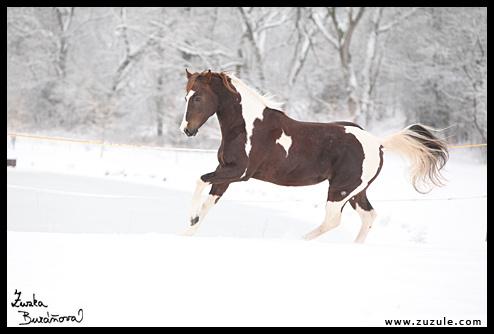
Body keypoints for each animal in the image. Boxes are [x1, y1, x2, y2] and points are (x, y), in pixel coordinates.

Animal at [179, 70, 450, 243]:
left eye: (198, 97)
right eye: (185, 97)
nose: (186, 130)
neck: (247, 127)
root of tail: (378, 143)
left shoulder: (240, 172)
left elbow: (200, 180)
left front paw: (190, 218)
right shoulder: (225, 171)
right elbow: (208, 203)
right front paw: (188, 231)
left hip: (340, 190)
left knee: (332, 221)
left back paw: (298, 240)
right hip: (356, 192)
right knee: (368, 216)